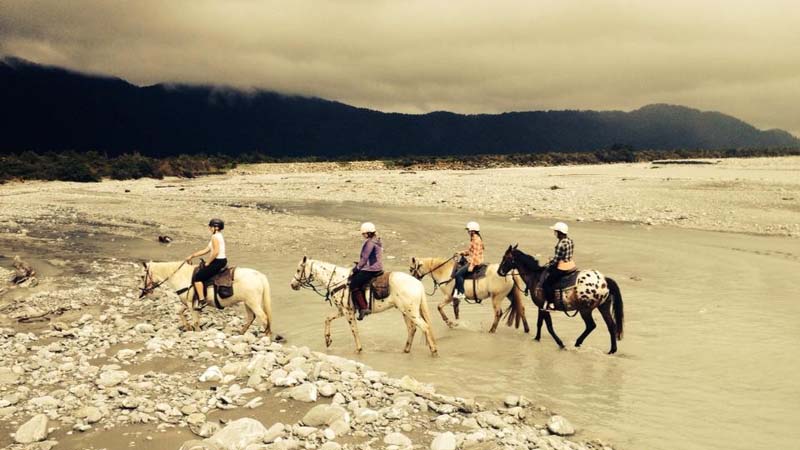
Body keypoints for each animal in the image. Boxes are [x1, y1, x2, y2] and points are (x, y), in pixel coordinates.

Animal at [139, 260, 274, 338]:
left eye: (142, 276)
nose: (143, 293)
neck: (182, 276)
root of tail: (259, 275)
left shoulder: (190, 304)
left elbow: (195, 320)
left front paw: (197, 331)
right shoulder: (188, 303)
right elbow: (180, 312)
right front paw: (188, 327)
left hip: (253, 303)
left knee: (264, 318)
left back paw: (266, 337)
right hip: (248, 303)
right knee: (251, 317)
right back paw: (241, 333)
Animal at [290, 256, 438, 356]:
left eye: (298, 270)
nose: (292, 285)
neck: (339, 280)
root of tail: (418, 284)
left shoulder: (348, 312)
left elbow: (354, 330)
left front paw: (358, 349)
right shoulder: (342, 311)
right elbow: (327, 319)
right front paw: (327, 340)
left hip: (411, 312)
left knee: (424, 327)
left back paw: (433, 351)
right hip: (405, 312)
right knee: (412, 329)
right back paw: (406, 350)